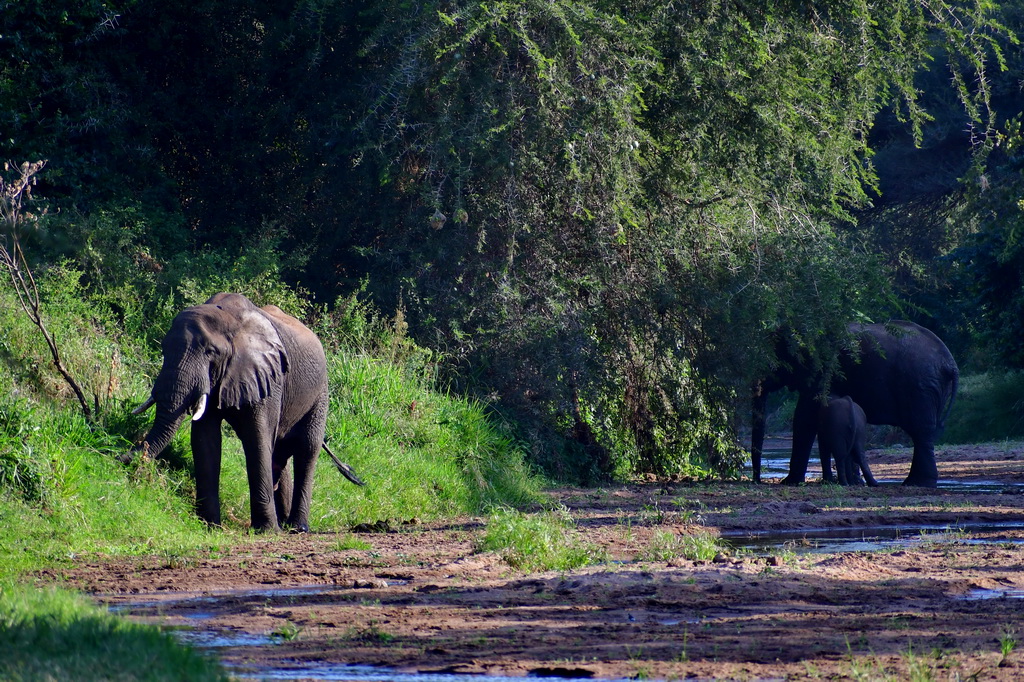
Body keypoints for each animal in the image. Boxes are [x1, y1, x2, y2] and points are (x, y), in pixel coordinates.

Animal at [122, 292, 364, 532]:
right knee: (279, 452)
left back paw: (297, 527)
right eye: (164, 349)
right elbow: (205, 439)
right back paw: (284, 522)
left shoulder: (269, 377)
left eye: (211, 352)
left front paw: (266, 530)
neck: (228, 318)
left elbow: (257, 438)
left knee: (307, 448)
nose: (121, 457)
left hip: (320, 392)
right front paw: (211, 526)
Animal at [749, 321, 954, 485]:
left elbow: (804, 417)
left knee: (921, 432)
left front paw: (789, 483)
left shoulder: (820, 369)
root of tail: (950, 363)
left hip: (920, 387)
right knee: (923, 434)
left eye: (770, 364)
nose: (757, 481)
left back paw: (917, 483)